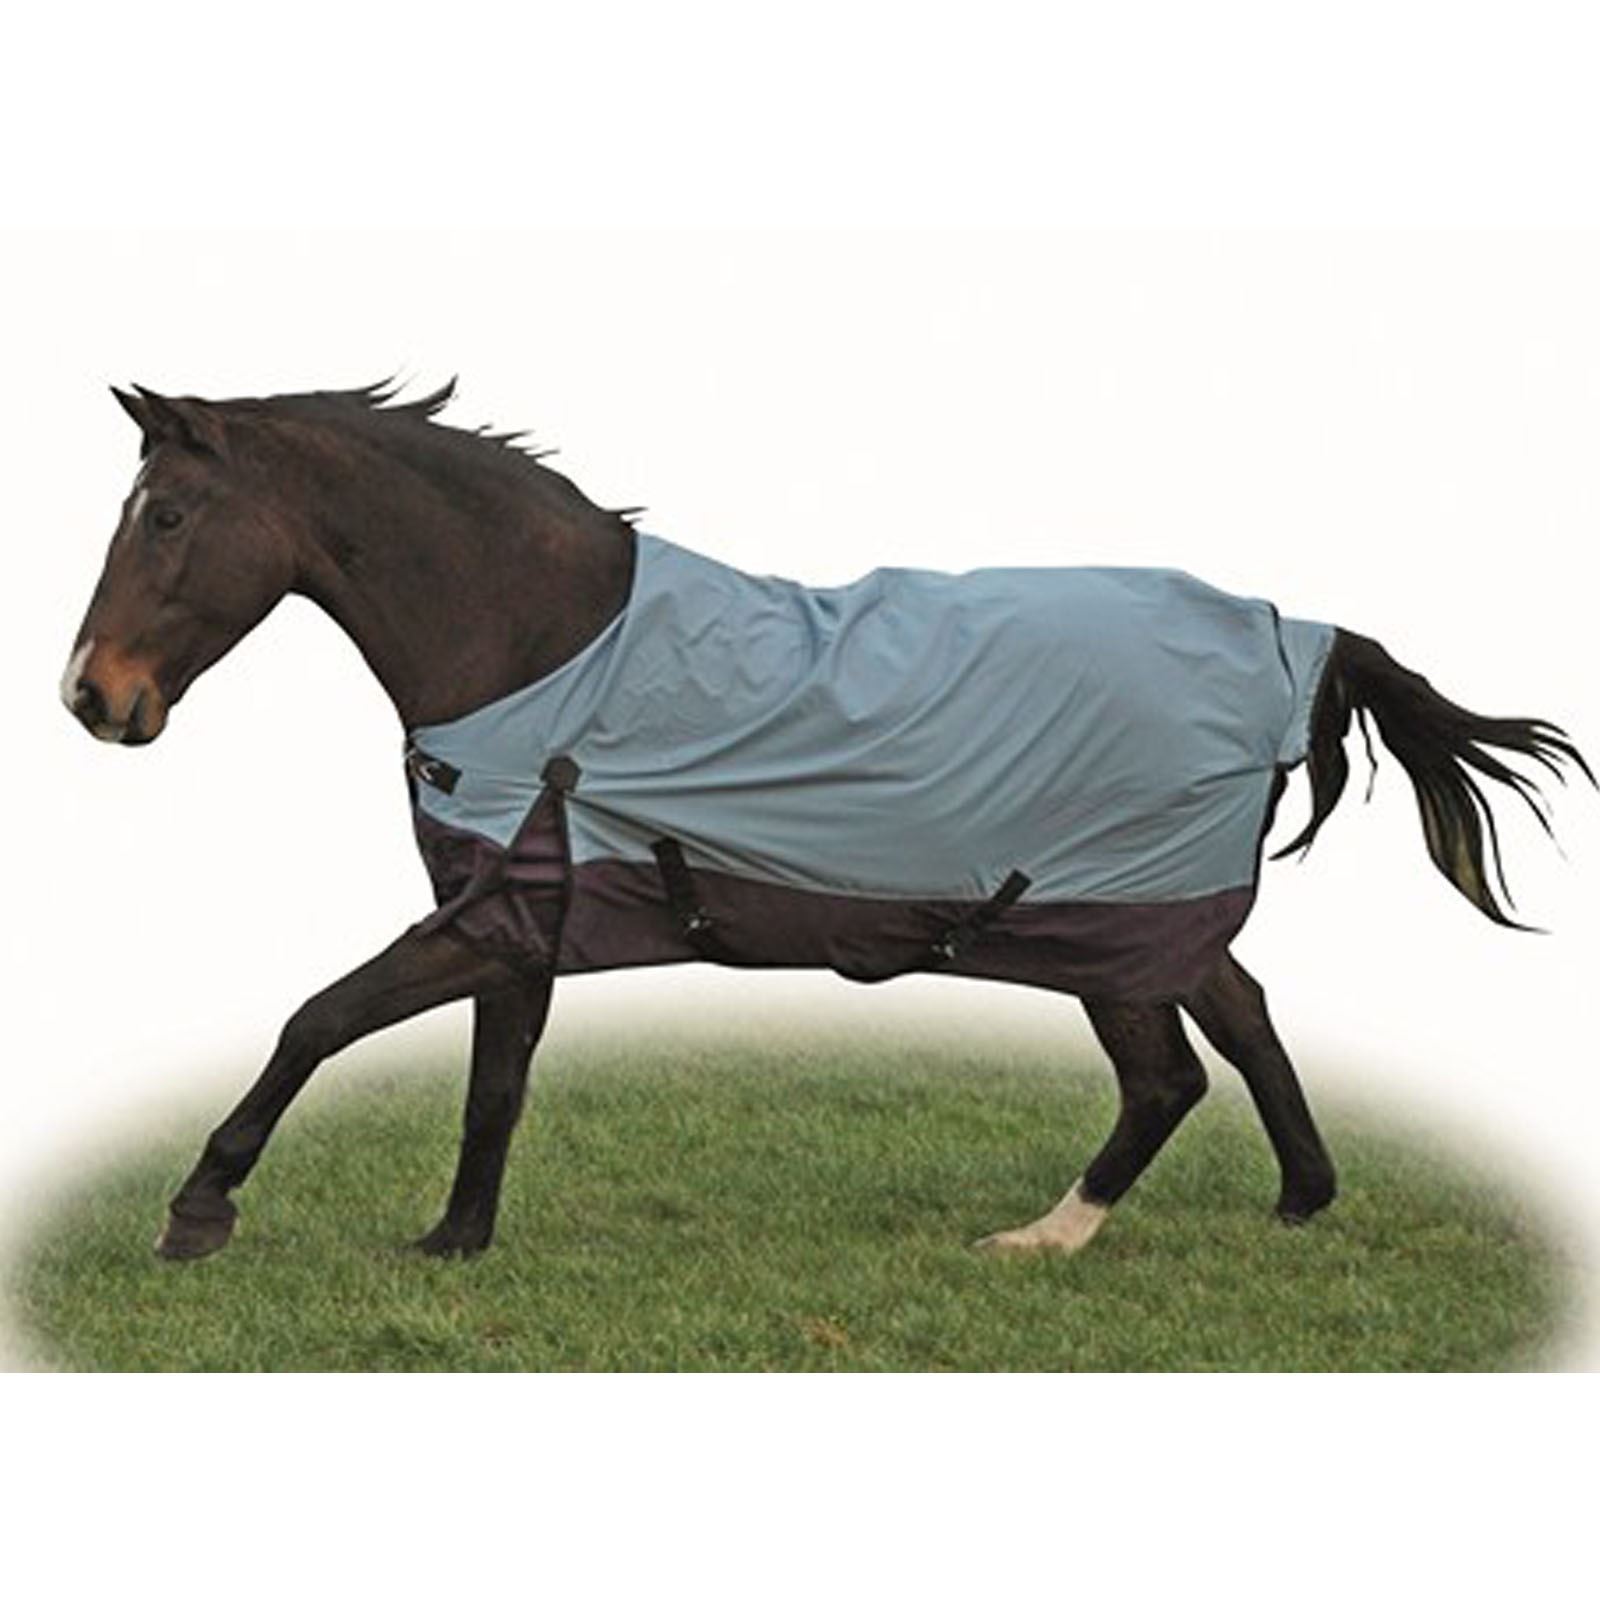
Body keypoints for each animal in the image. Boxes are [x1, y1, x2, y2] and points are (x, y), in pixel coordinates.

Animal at [61, 380, 1590, 1263]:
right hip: (1150, 916)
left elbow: (318, 1019)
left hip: (1102, 926)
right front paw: (455, 1242)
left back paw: (1045, 1237)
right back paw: (1299, 1200)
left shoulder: (487, 915)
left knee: (1167, 1076)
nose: (92, 697)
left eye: (170, 515)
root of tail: (1293, 634)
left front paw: (199, 1210)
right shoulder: (522, 910)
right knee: (1248, 1014)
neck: (542, 643)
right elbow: (494, 1082)